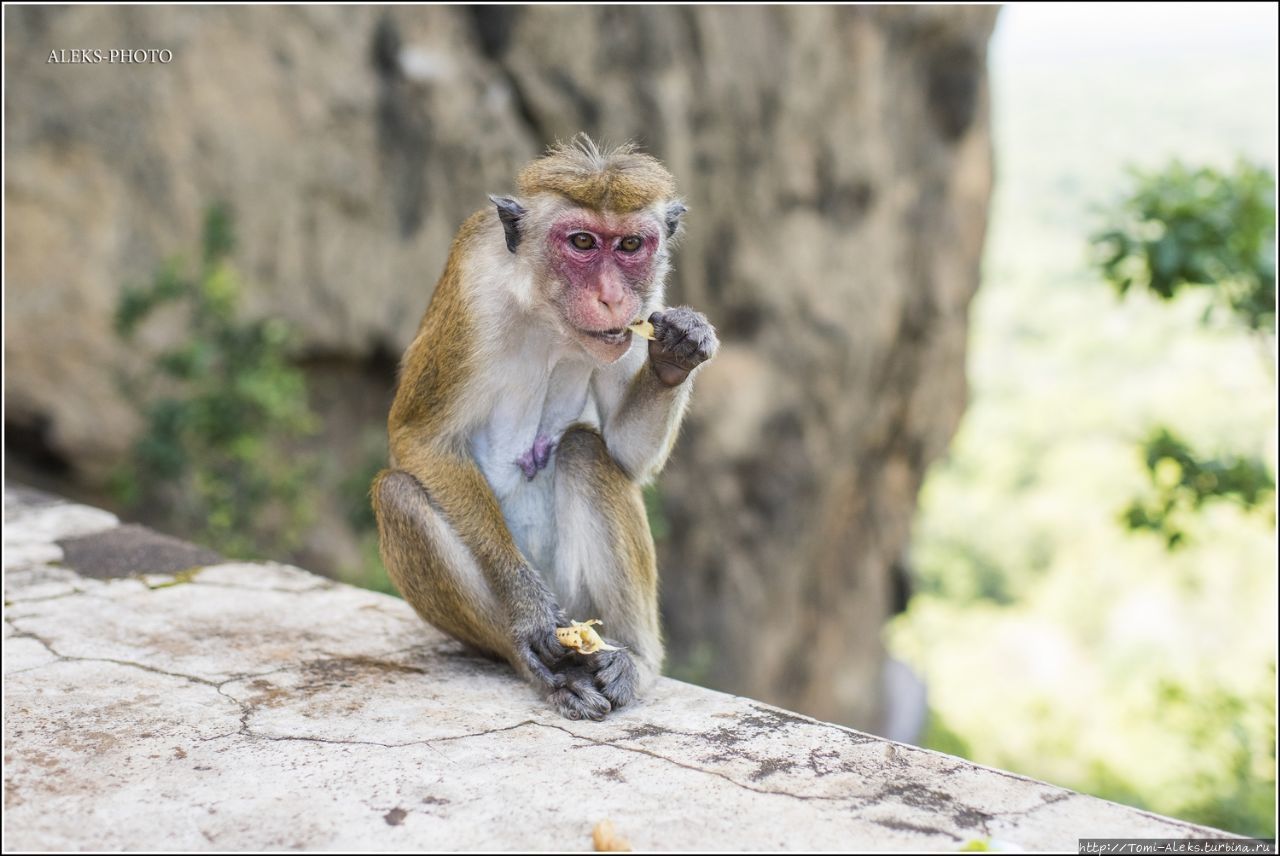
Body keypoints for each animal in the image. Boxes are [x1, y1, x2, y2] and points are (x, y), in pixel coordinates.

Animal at [371, 134, 721, 721]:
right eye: (581, 241)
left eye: (630, 245)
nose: (611, 297)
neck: (545, 310)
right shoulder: (475, 287)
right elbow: (419, 439)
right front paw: (529, 610)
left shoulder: (645, 306)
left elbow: (626, 456)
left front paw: (678, 349)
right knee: (398, 493)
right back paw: (538, 663)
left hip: (578, 596)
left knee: (584, 449)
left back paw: (634, 660)